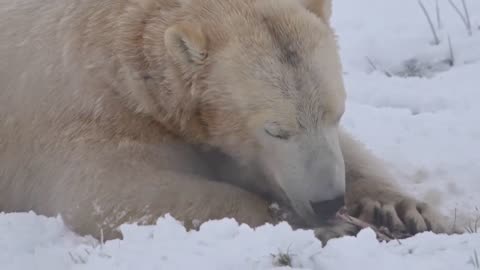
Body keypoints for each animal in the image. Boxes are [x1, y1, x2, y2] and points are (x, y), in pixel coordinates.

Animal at [0, 0, 450, 243]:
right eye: (275, 129)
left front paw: (400, 208)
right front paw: (309, 225)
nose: (328, 203)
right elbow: (107, 192)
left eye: (336, 112)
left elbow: (352, 152)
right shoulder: (87, 105)